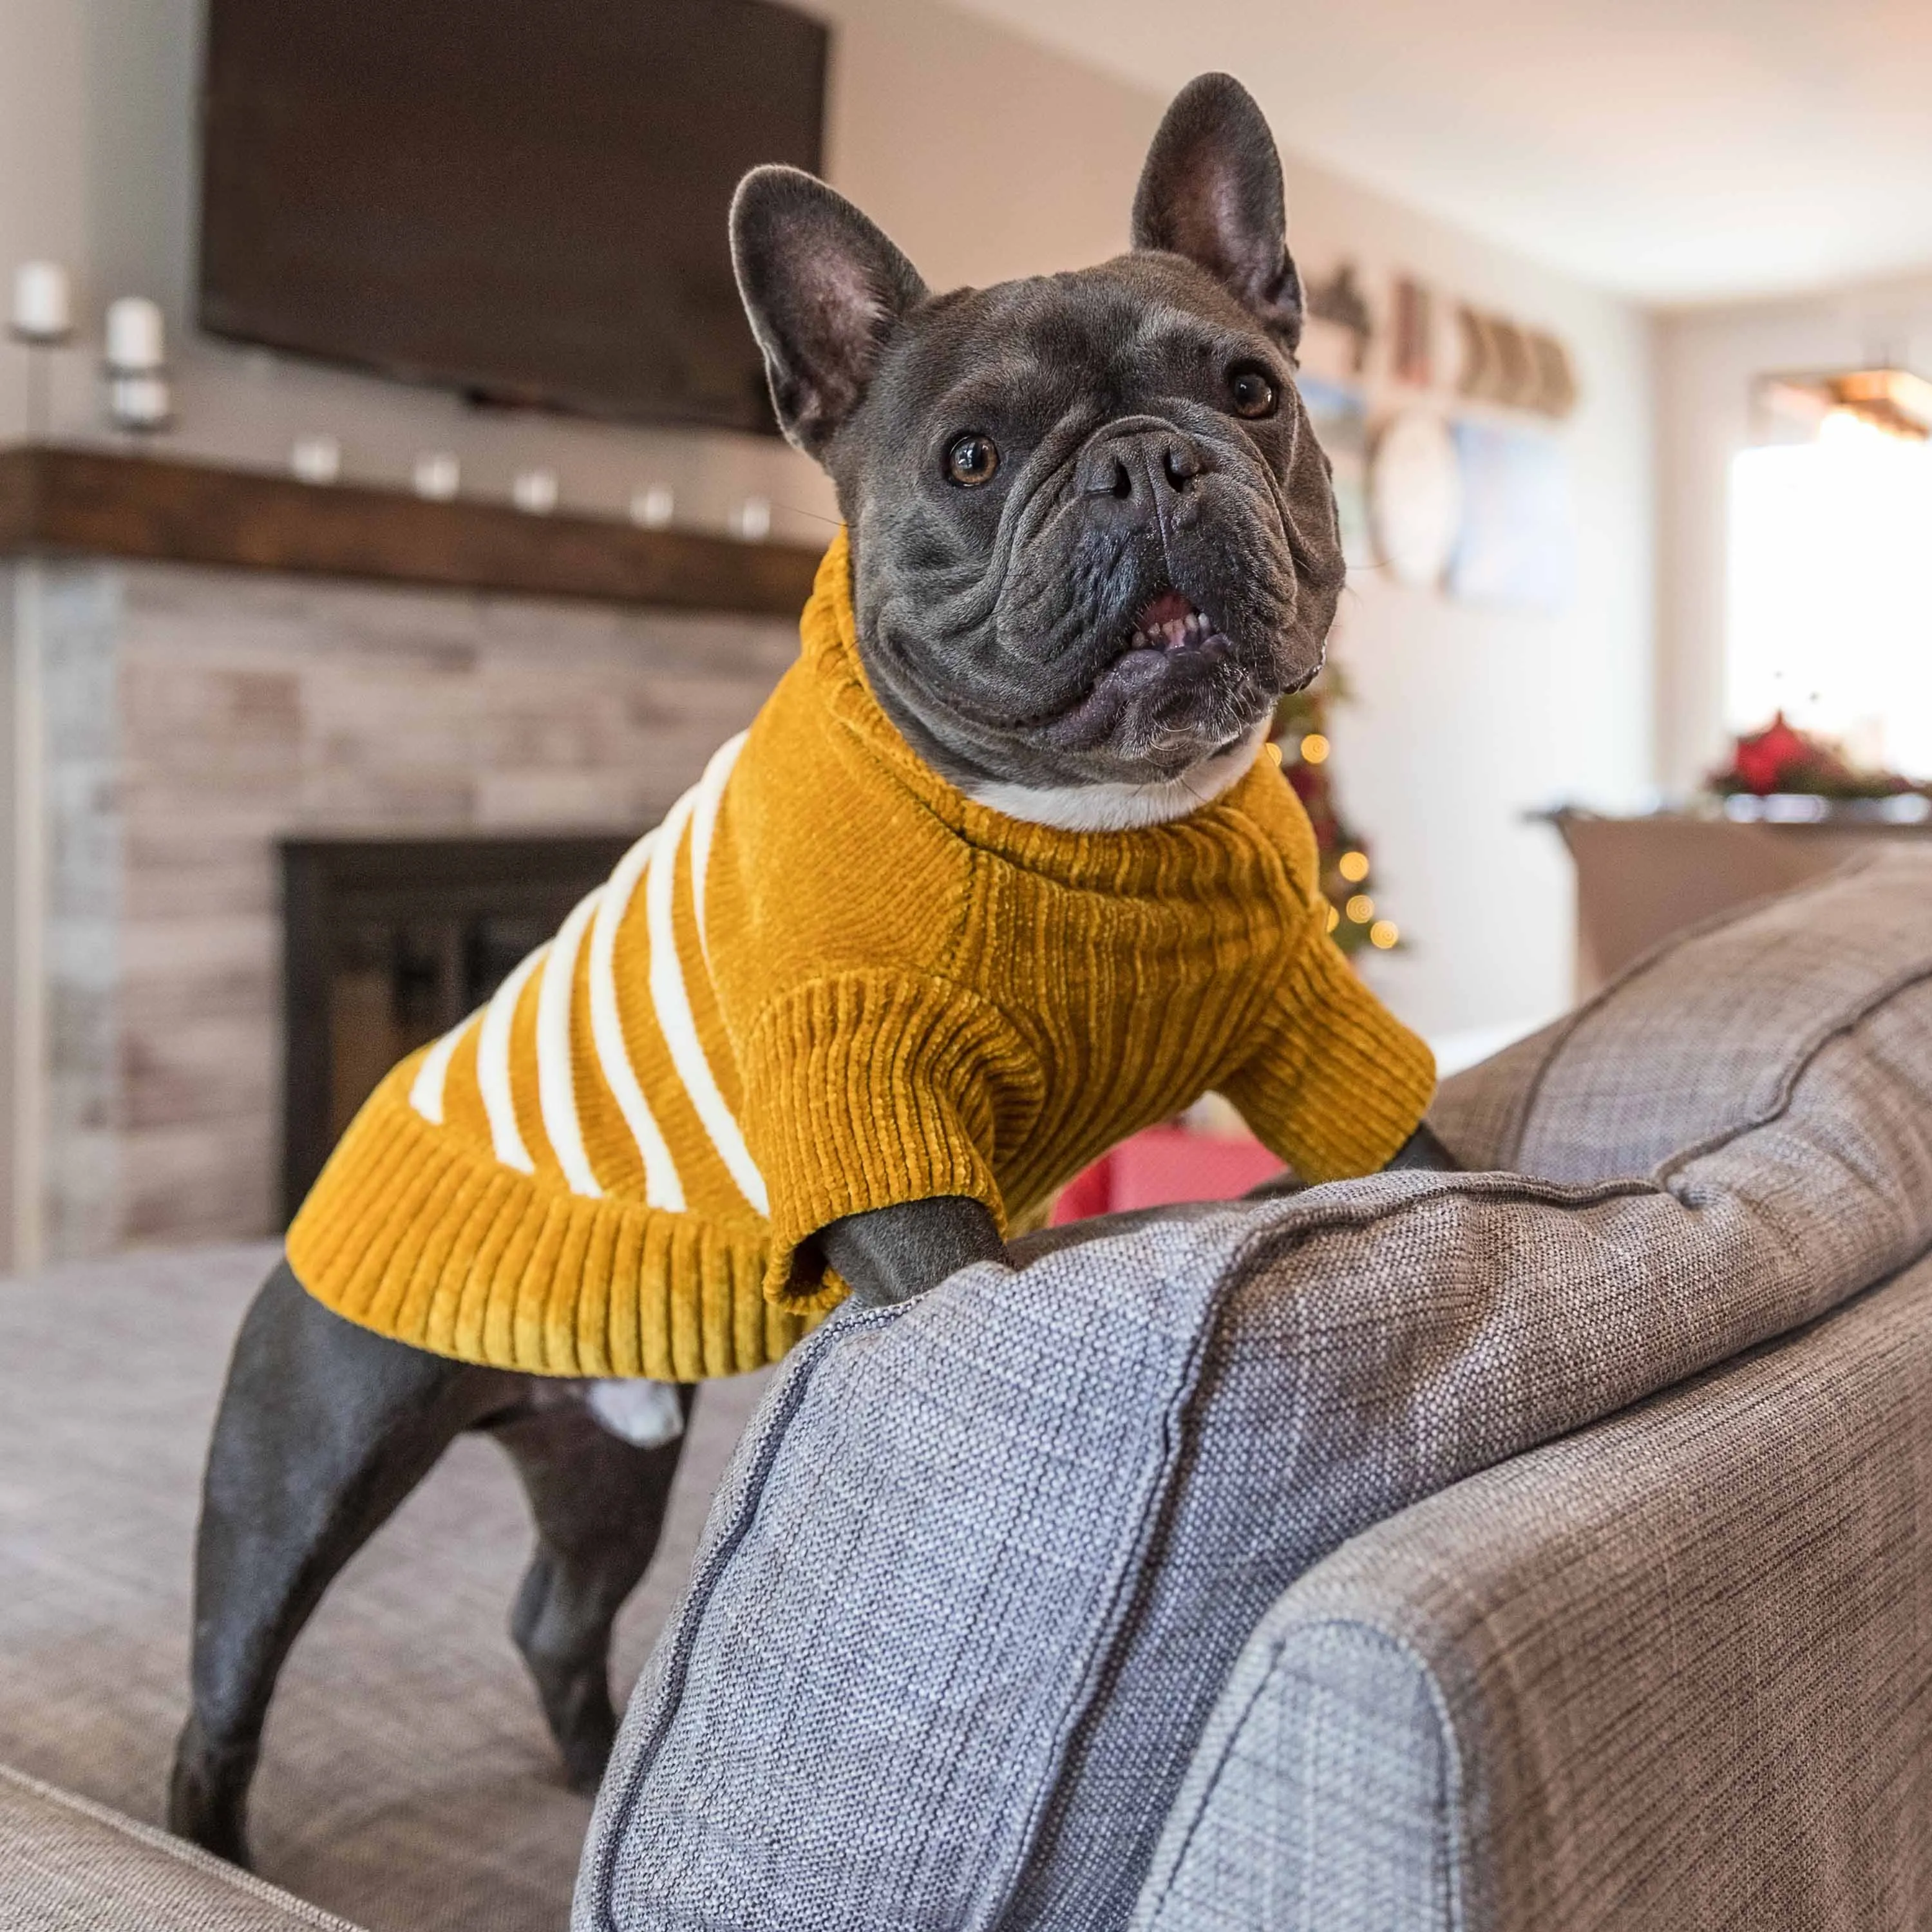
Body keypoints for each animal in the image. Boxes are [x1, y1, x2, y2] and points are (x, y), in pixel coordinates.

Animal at [170, 68, 1453, 1862]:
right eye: (972, 457)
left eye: (1253, 390)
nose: (1146, 462)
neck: (1095, 823)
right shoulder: (887, 1126)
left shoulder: (1303, 1019)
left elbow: (1410, 1146)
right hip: (306, 1455)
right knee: (229, 1685)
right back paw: (204, 1839)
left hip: (608, 1469)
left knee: (553, 1618)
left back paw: (600, 1771)